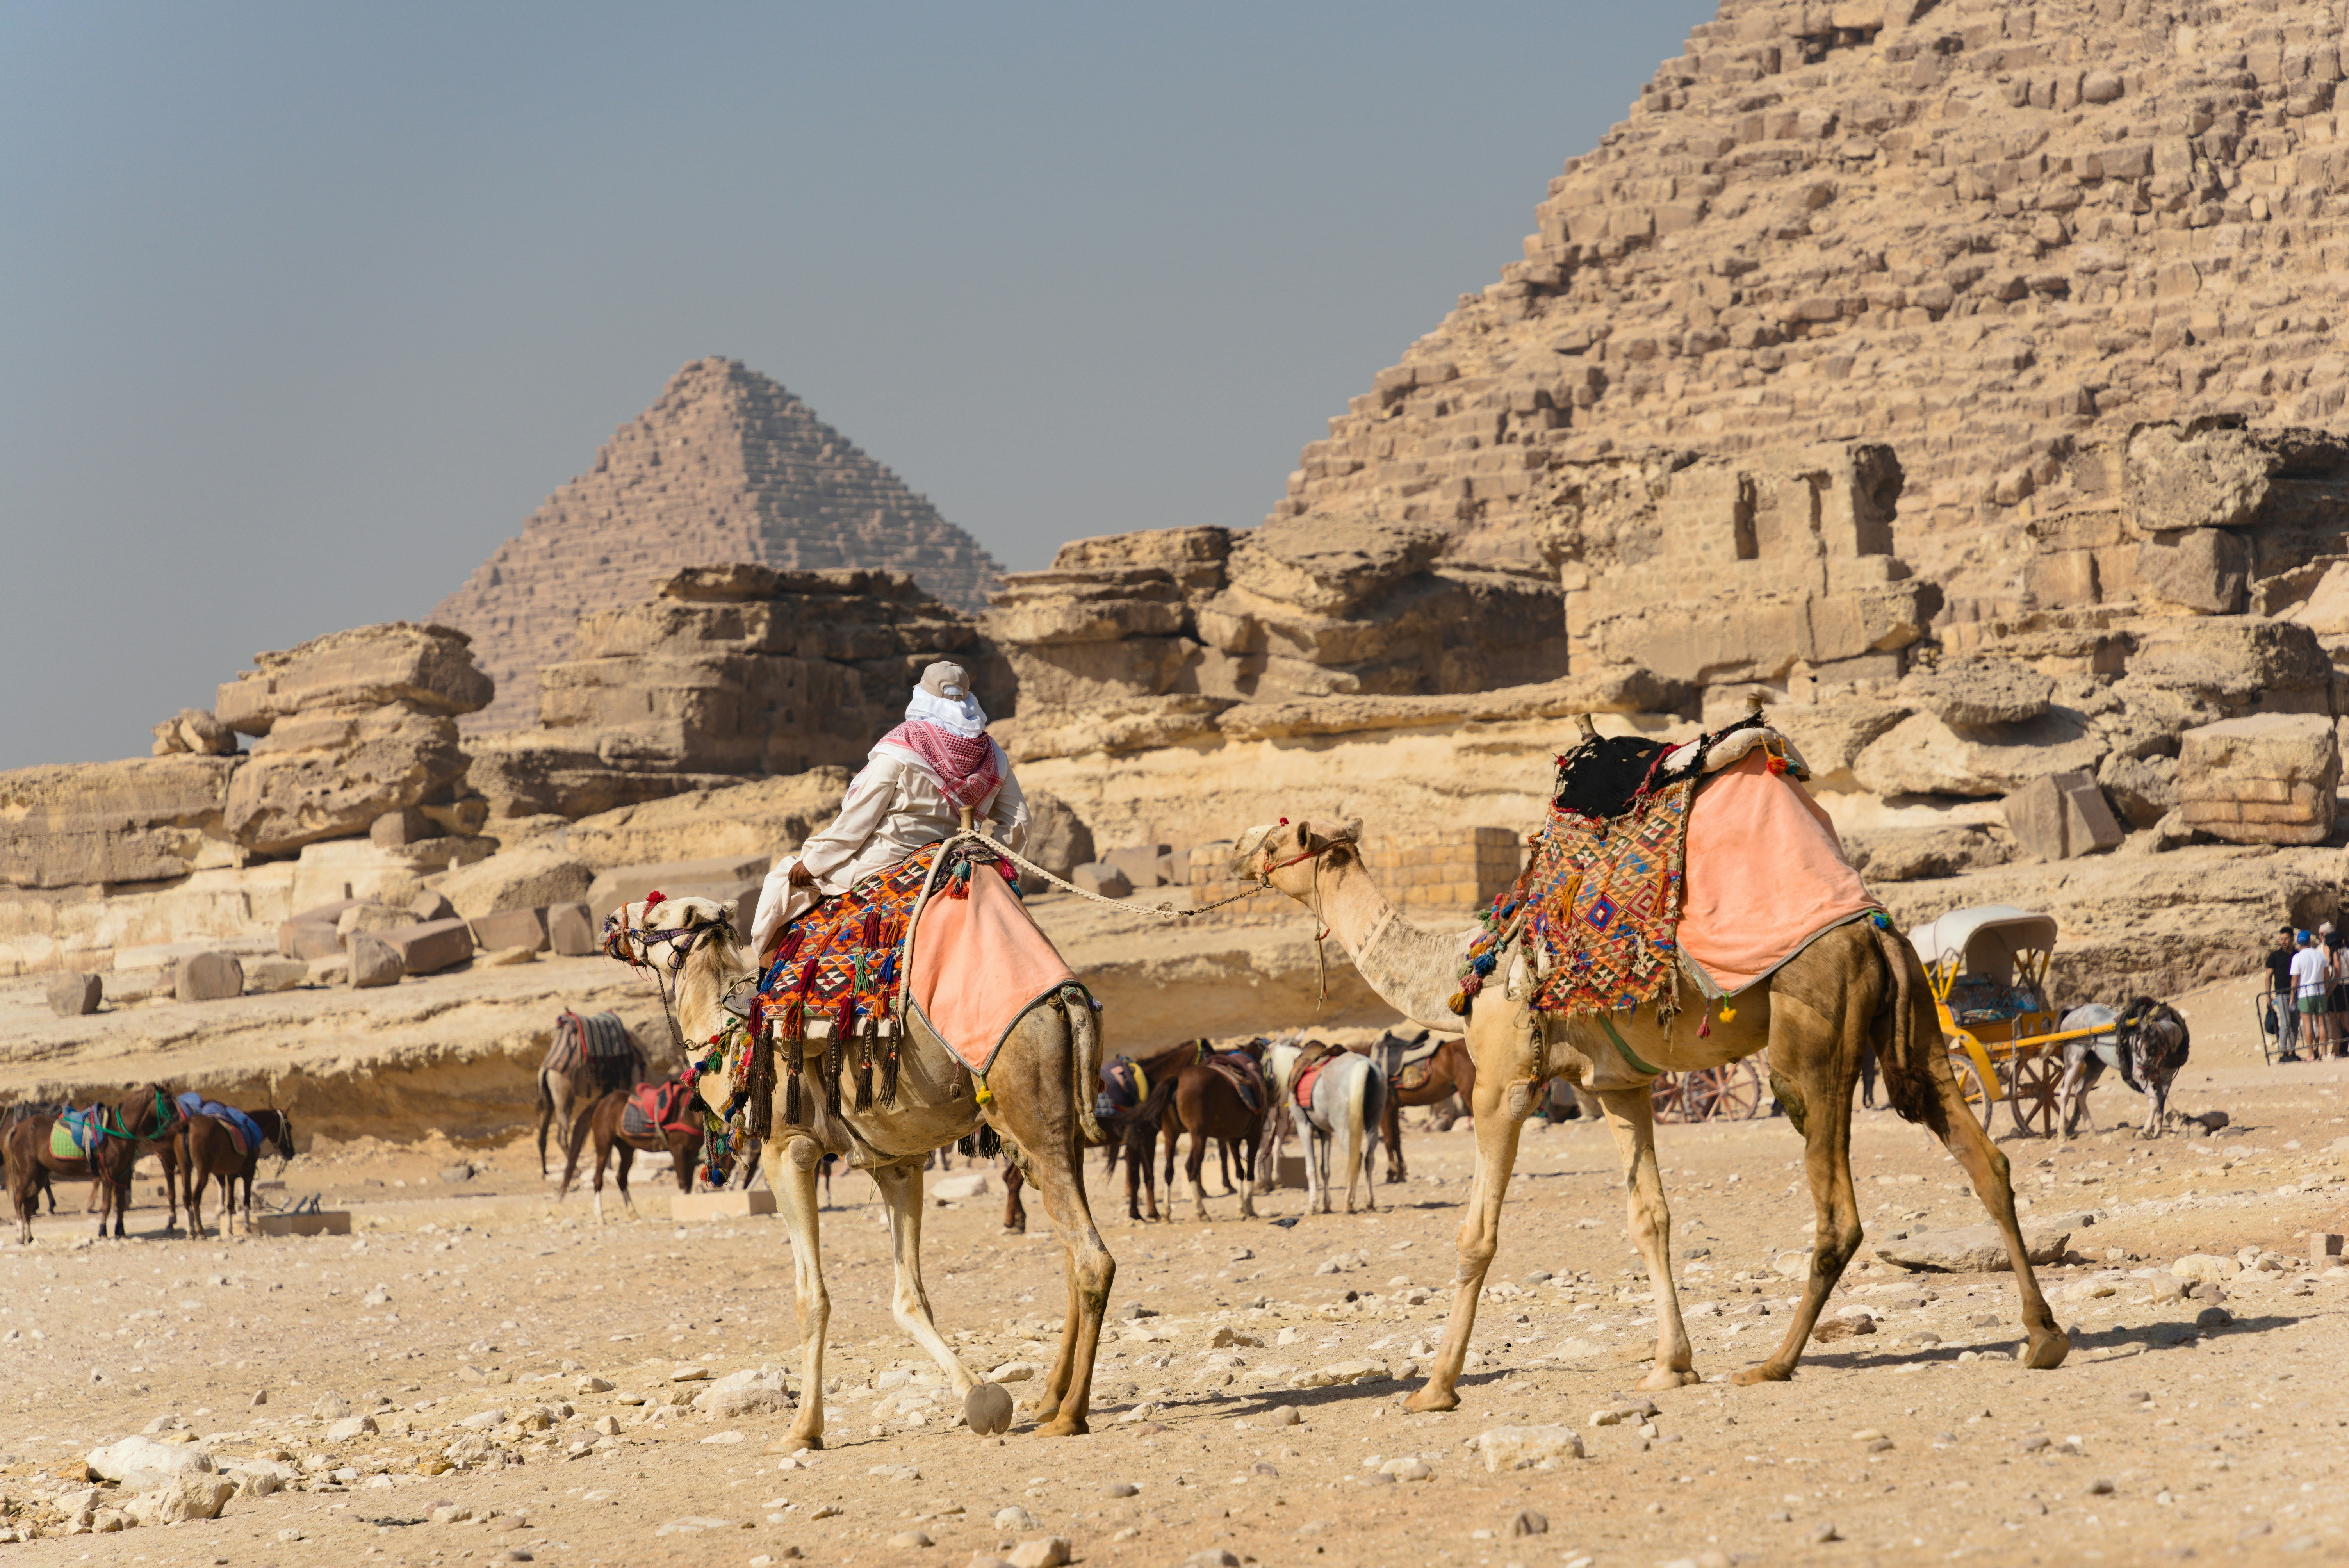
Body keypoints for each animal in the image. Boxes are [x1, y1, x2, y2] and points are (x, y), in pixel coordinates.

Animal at [603, 891, 1115, 1447]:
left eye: (655, 916)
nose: (614, 921)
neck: (731, 1032)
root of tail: (1069, 1002)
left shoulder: (788, 1151)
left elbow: (812, 1298)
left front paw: (804, 1429)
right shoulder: (897, 1163)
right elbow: (910, 1298)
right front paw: (977, 1396)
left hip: (1028, 1110)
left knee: (1093, 1259)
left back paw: (1070, 1415)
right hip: (1058, 1133)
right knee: (1070, 1254)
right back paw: (1048, 1400)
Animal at [1231, 816, 2069, 1407]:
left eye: (1276, 838)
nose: (1234, 853)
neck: (1459, 971)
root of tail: (1875, 932)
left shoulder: (1502, 1083)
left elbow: (1476, 1238)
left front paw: (1434, 1388)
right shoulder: (1618, 1086)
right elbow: (1651, 1218)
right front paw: (1672, 1366)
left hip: (1810, 1047)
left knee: (1840, 1213)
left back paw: (1774, 1363)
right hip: (1921, 1031)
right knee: (1987, 1161)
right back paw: (2043, 1335)